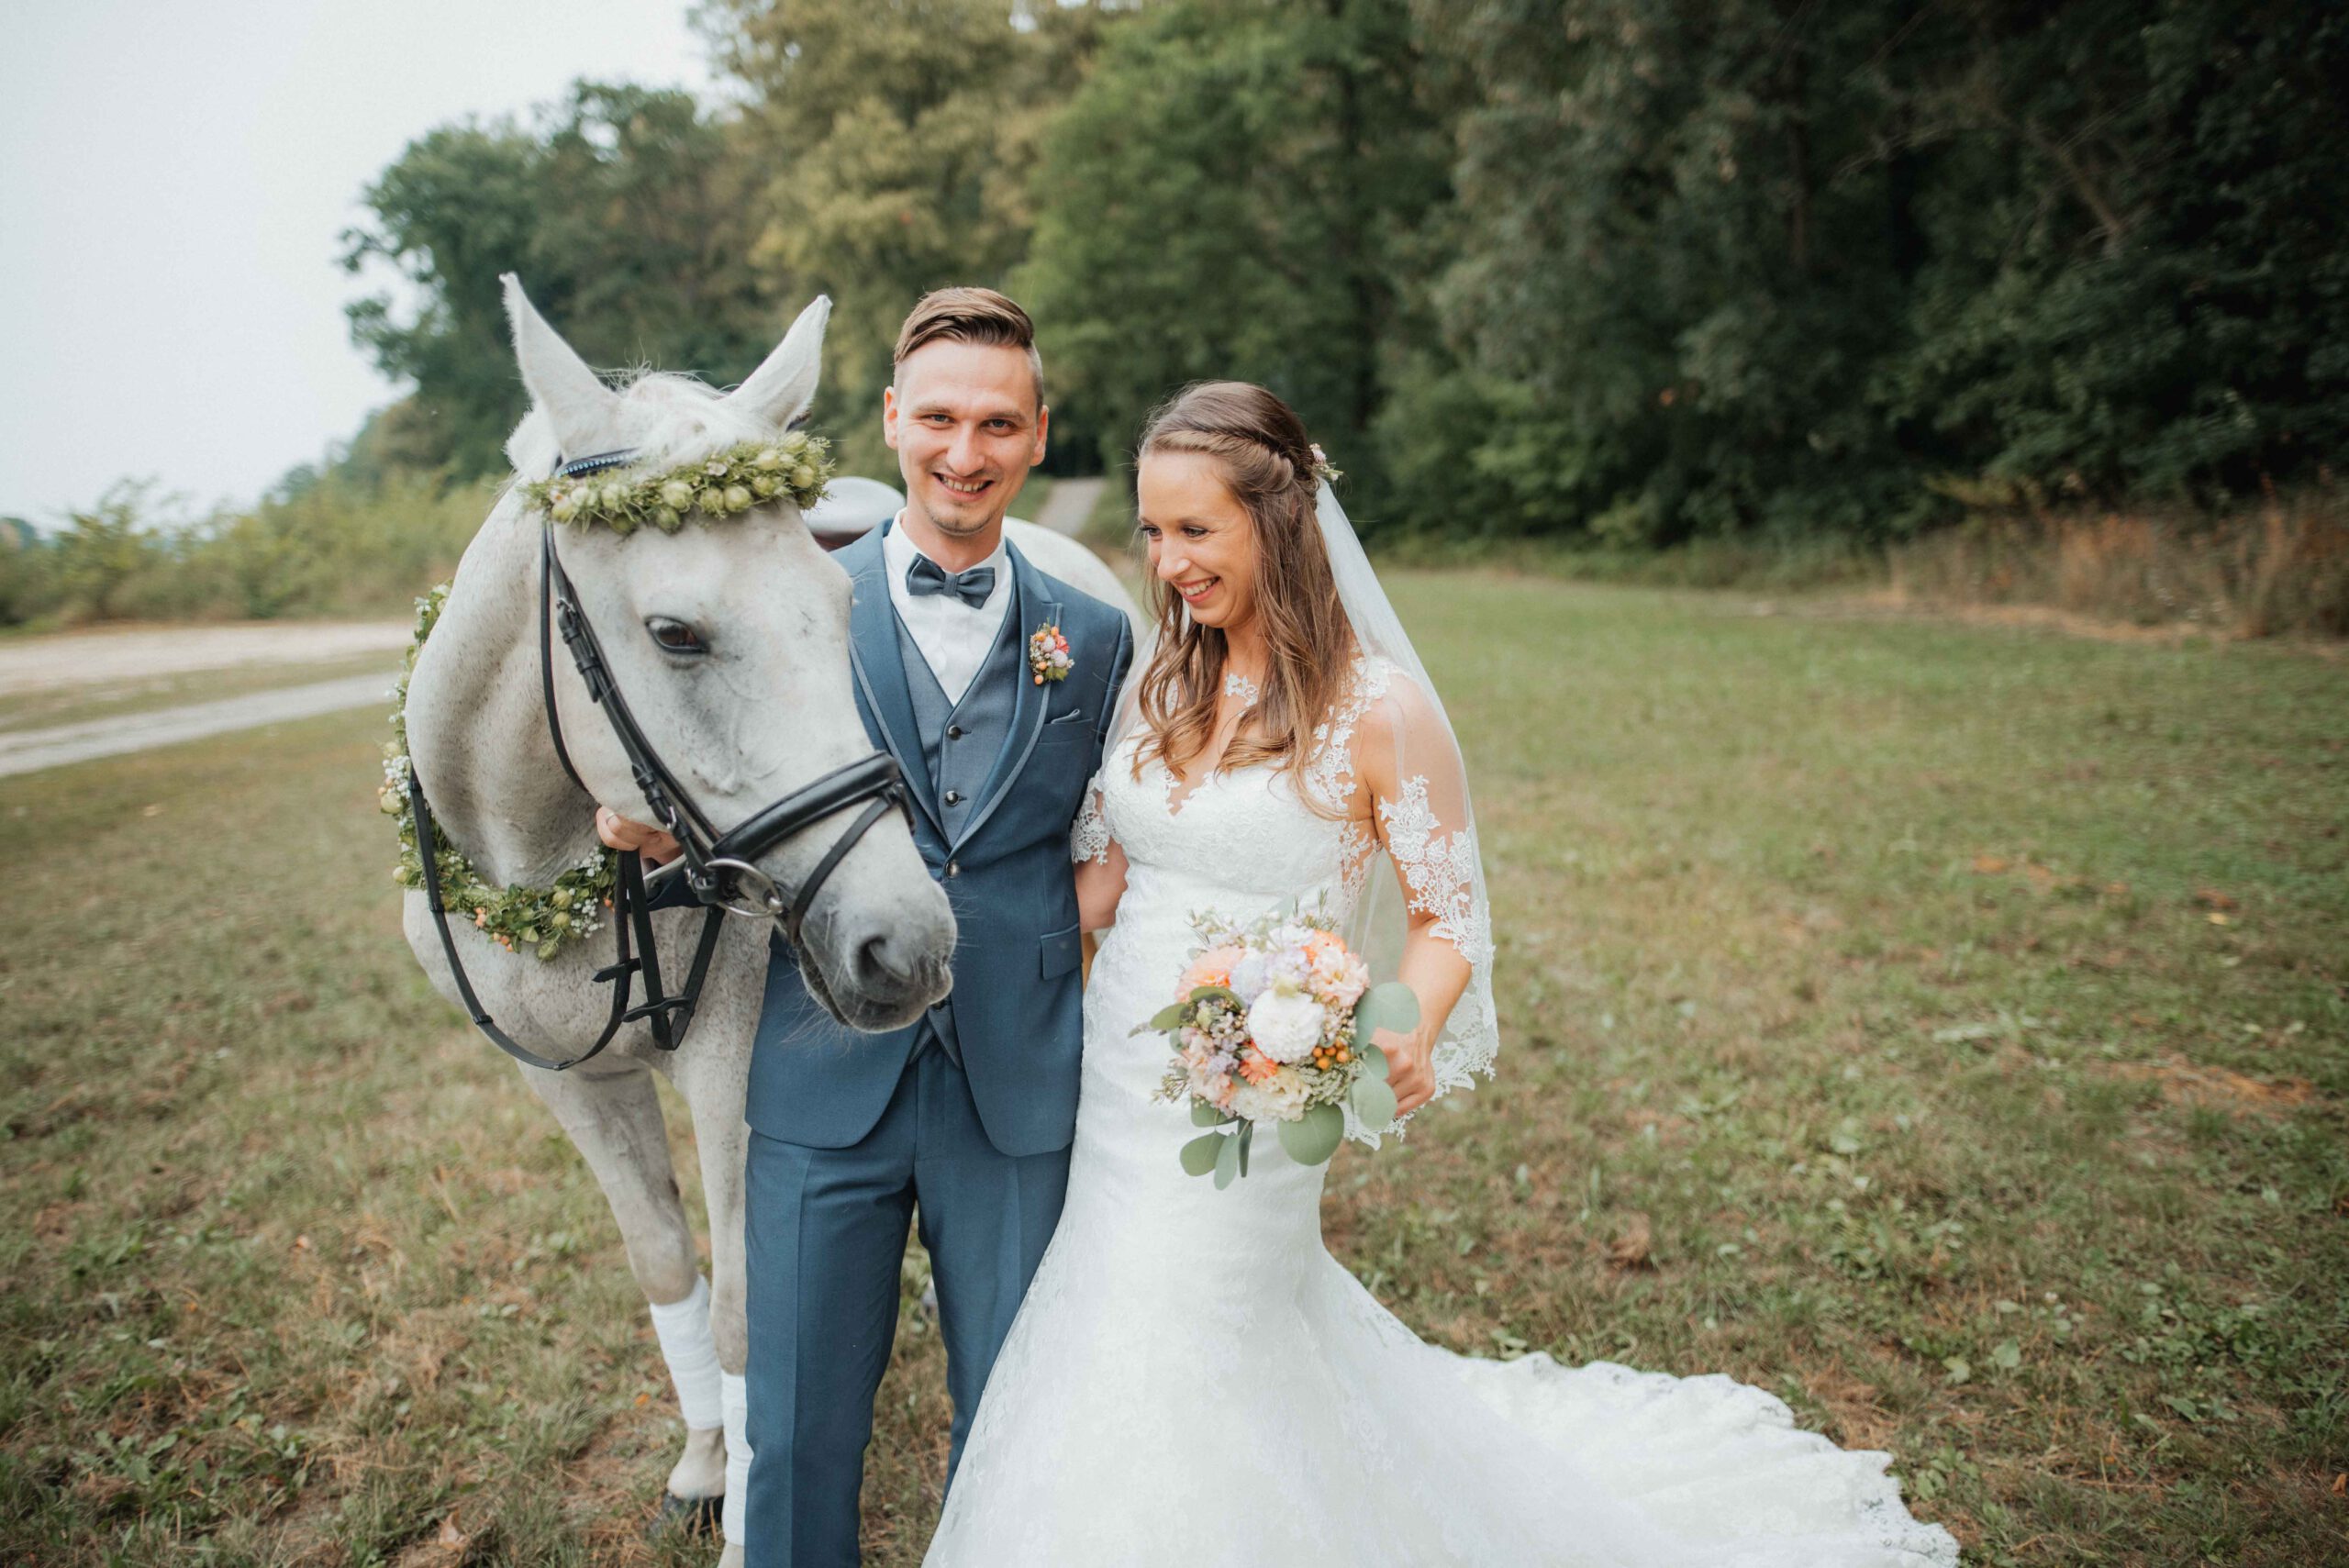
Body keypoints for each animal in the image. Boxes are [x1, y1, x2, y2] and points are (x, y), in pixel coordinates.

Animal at [398, 276, 956, 1561]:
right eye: (674, 633)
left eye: (837, 605)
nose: (907, 944)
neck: (541, 859)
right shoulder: (562, 1076)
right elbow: (662, 1261)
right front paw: (706, 1462)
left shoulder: (734, 1072)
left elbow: (753, 1308)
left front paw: (753, 1511)